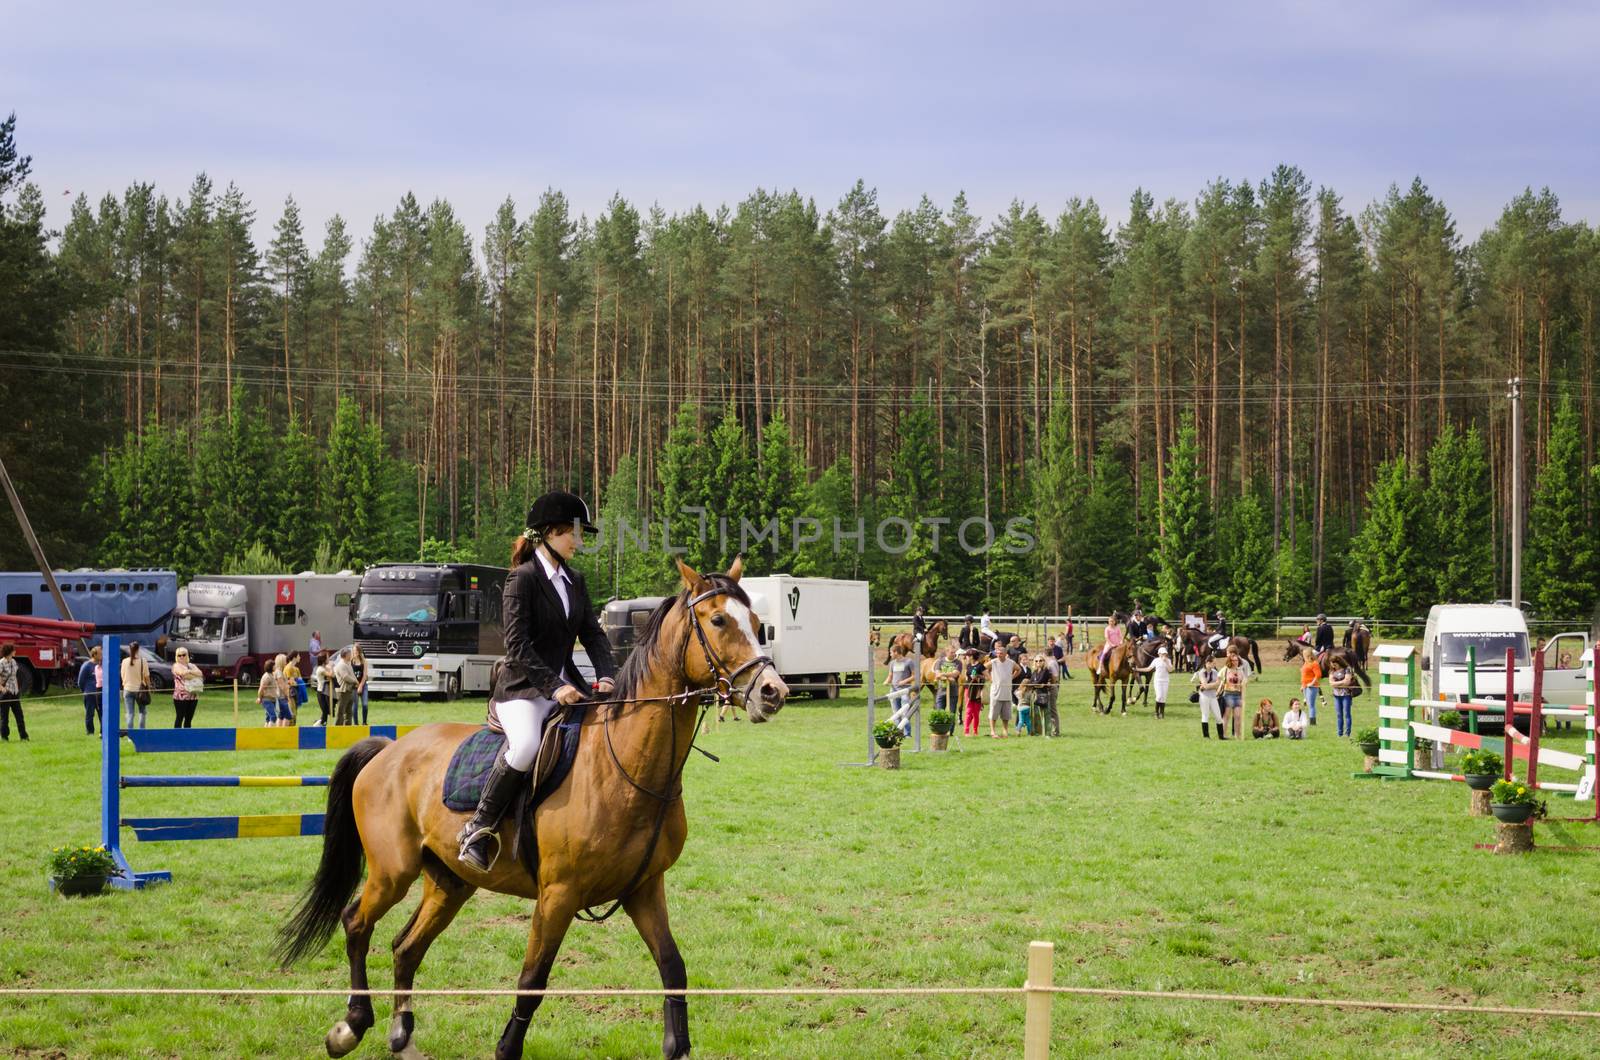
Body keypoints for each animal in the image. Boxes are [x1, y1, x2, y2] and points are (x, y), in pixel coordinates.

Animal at [275, 560, 787, 1056]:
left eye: (757, 623)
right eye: (719, 620)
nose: (773, 692)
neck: (626, 766)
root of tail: (387, 749)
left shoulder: (644, 888)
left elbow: (673, 969)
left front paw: (676, 1044)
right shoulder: (557, 895)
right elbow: (532, 981)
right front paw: (506, 1047)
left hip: (450, 883)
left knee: (406, 947)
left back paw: (402, 1037)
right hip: (392, 872)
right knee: (358, 925)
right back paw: (351, 1026)